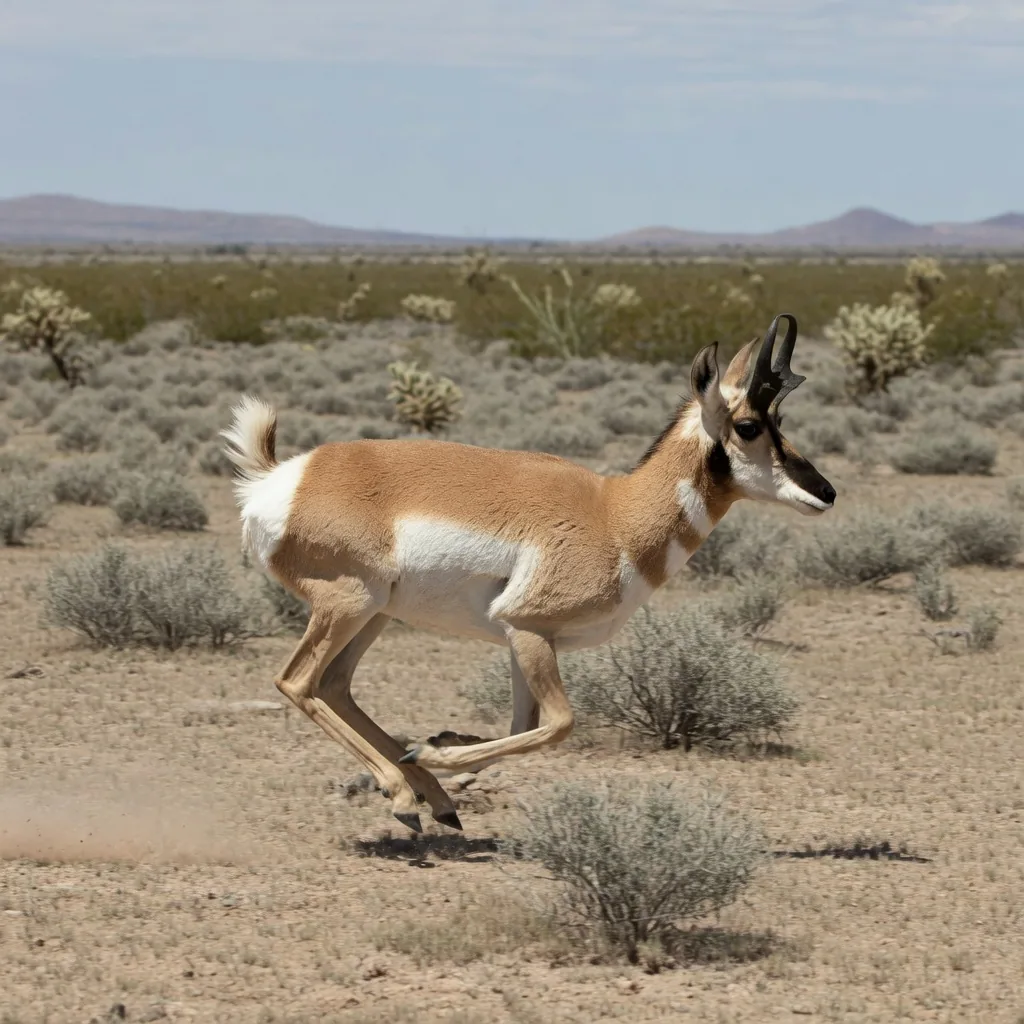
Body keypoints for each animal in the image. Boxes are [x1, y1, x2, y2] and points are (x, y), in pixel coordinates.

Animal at [223, 313, 835, 833]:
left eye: (780, 420)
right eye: (750, 425)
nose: (826, 492)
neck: (613, 513)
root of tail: (282, 478)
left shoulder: (525, 641)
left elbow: (523, 727)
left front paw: (443, 758)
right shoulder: (529, 630)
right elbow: (559, 724)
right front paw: (438, 752)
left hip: (374, 615)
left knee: (336, 685)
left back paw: (431, 798)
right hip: (348, 606)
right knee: (298, 682)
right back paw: (402, 795)